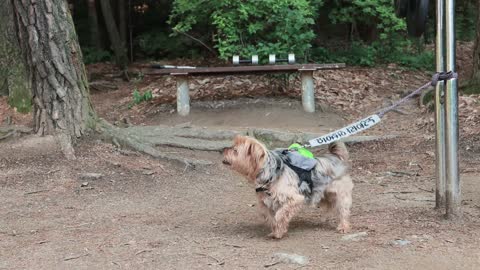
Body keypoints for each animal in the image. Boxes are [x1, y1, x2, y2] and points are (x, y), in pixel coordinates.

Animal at [224, 135, 352, 238]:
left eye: (235, 150)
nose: (224, 149)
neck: (270, 173)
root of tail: (335, 157)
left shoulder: (294, 199)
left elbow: (280, 214)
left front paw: (278, 230)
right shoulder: (265, 203)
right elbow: (269, 217)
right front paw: (276, 231)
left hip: (340, 194)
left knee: (343, 210)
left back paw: (343, 226)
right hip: (322, 193)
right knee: (329, 206)